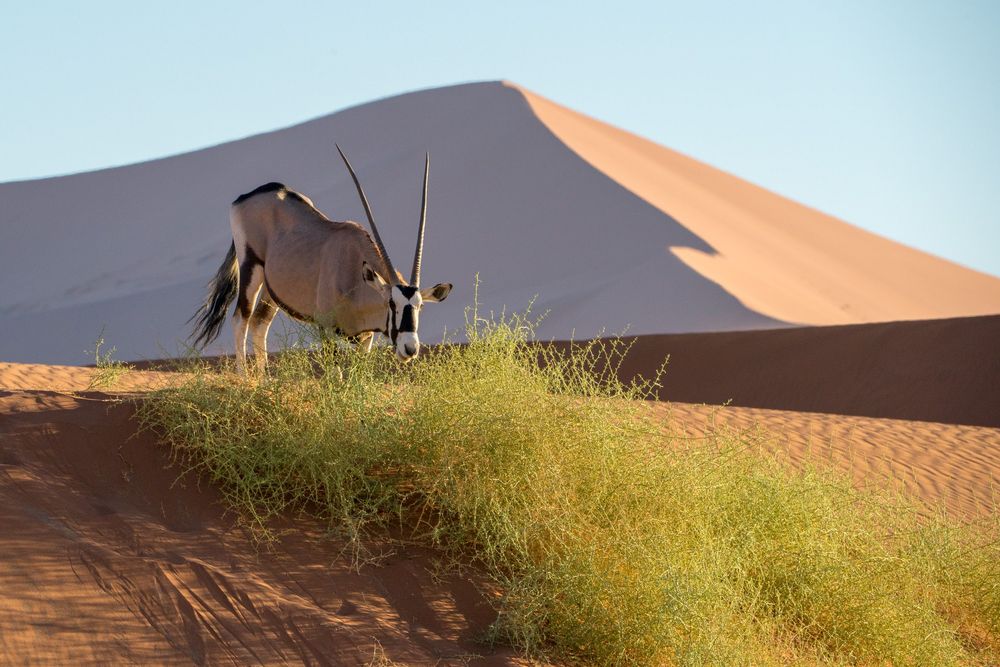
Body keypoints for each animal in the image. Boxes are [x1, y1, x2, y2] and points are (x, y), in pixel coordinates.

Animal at [189, 146, 452, 372]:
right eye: (391, 303)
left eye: (420, 306)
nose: (410, 348)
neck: (354, 272)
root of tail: (247, 196)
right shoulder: (325, 328)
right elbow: (335, 374)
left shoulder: (364, 338)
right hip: (251, 268)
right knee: (240, 320)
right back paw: (247, 380)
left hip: (272, 287)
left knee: (259, 323)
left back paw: (265, 382)